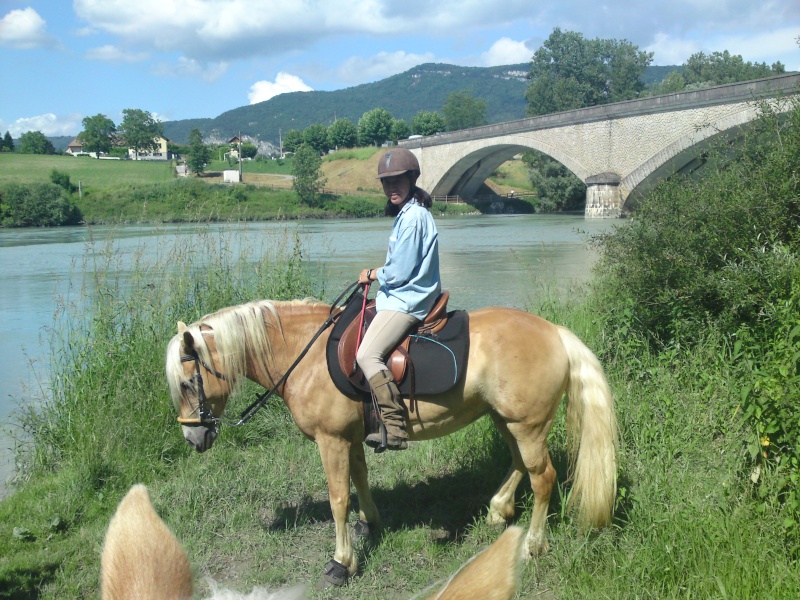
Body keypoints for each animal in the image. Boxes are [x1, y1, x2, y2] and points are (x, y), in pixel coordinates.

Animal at [166, 298, 620, 584]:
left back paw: (533, 546)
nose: (193, 437)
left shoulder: (331, 441)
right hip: (506, 419)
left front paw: (341, 563)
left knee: (543, 478)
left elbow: (337, 498)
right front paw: (370, 523)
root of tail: (555, 332)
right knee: (521, 465)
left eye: (188, 382)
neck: (304, 356)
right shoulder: (350, 438)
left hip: (526, 424)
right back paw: (498, 509)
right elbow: (360, 479)